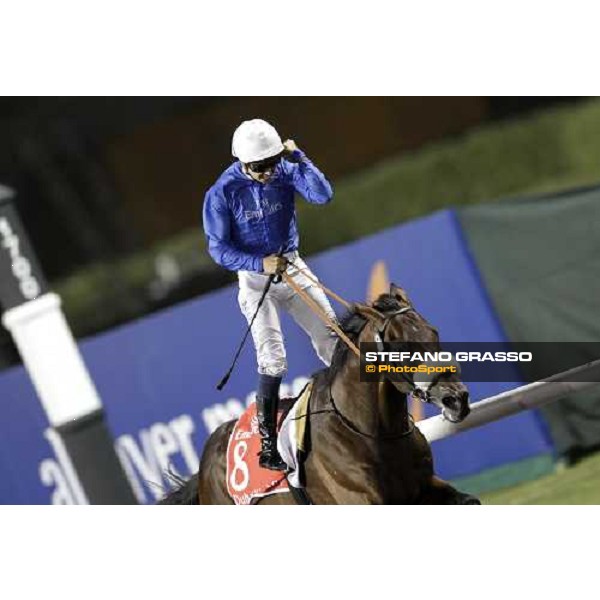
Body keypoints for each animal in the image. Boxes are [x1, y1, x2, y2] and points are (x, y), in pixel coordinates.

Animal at [162, 284, 480, 504]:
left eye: (433, 332)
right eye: (401, 347)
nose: (456, 399)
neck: (372, 431)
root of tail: (203, 466)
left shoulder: (425, 487)